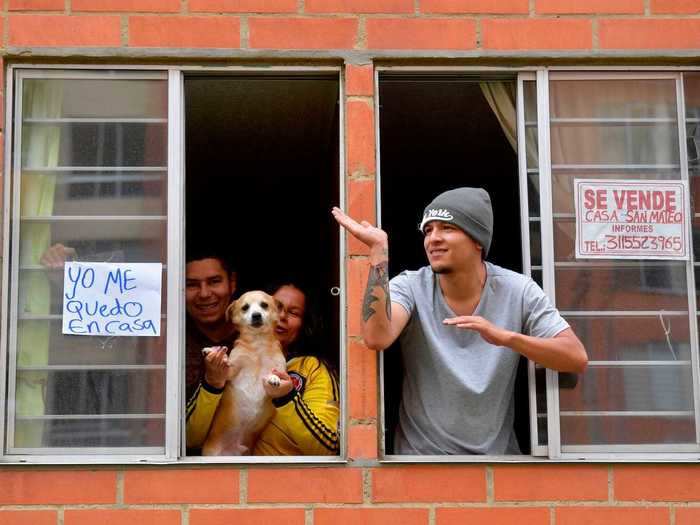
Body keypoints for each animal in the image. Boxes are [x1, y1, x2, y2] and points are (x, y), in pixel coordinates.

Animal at [201, 288, 288, 456]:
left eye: (264, 305)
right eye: (245, 308)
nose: (256, 315)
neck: (258, 344)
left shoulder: (279, 366)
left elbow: (276, 372)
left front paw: (274, 378)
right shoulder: (231, 369)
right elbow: (226, 361)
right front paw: (211, 350)